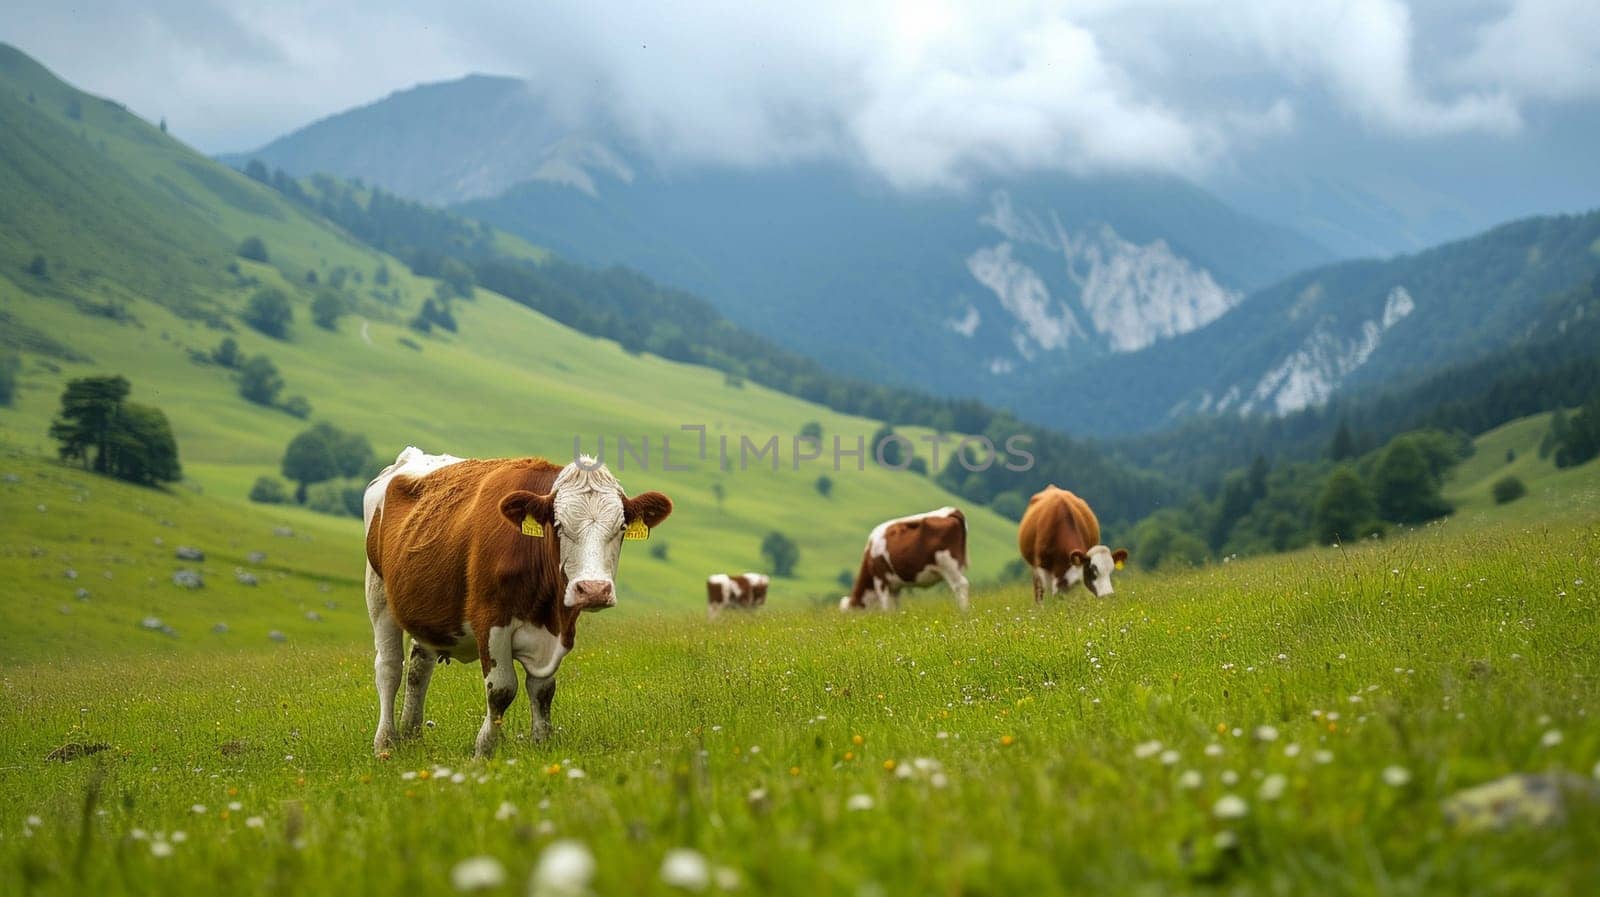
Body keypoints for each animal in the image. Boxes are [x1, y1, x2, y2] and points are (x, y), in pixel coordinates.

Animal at [366, 447, 672, 754]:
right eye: (558, 525)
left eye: (621, 527)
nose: (594, 589)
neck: (546, 609)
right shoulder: (490, 621)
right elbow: (501, 690)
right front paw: (485, 749)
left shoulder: (559, 628)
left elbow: (543, 690)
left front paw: (542, 743)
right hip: (378, 592)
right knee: (389, 667)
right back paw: (385, 742)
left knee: (419, 666)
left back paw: (411, 734)